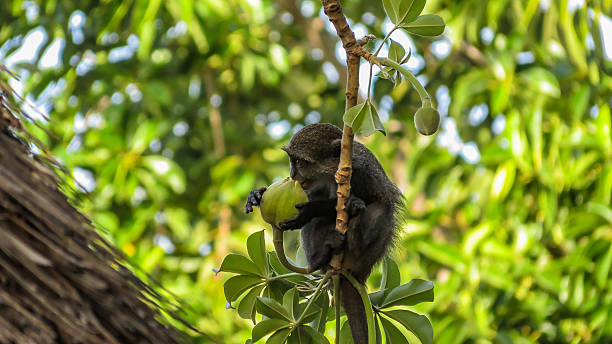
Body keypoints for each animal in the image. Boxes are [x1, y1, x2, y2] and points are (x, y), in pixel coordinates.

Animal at [246, 122, 404, 342]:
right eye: (291, 161)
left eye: (300, 162)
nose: (292, 175)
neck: (332, 172)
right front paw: (257, 195)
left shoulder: (360, 172)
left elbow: (369, 199)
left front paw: (310, 211)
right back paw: (319, 258)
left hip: (369, 253)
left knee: (381, 209)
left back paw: (353, 237)